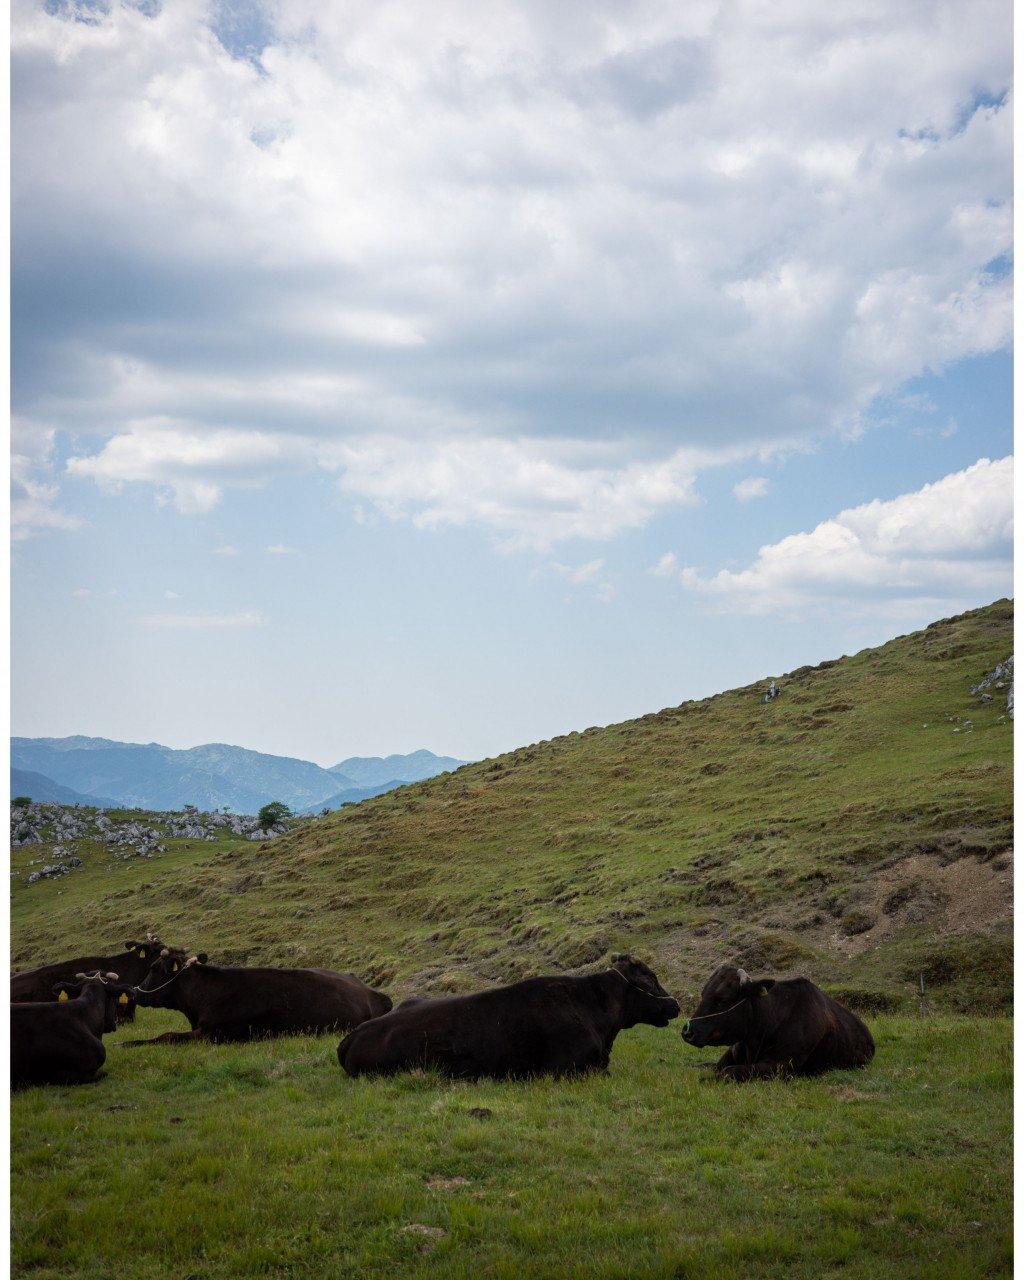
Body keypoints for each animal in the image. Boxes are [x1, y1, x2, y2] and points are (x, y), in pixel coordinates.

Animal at [128, 948, 392, 1044]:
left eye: (154, 968)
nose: (135, 992)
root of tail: (372, 991)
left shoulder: (215, 1033)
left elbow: (168, 1035)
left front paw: (131, 1042)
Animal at [680, 964, 875, 1080]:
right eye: (703, 993)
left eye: (722, 999)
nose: (687, 1032)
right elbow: (710, 1067)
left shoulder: (779, 1065)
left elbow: (726, 1071)